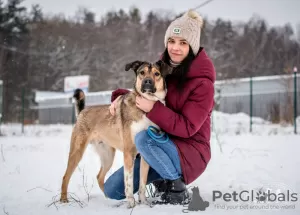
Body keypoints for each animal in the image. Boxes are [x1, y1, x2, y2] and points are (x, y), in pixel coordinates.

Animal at [59, 59, 171, 207]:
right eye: (142, 72)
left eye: (157, 74)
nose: (147, 82)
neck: (145, 108)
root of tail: (82, 111)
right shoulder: (129, 152)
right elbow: (129, 182)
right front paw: (131, 203)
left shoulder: (145, 157)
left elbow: (142, 183)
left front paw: (144, 203)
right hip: (77, 151)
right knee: (66, 176)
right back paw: (64, 200)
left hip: (107, 156)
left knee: (99, 176)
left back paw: (107, 198)